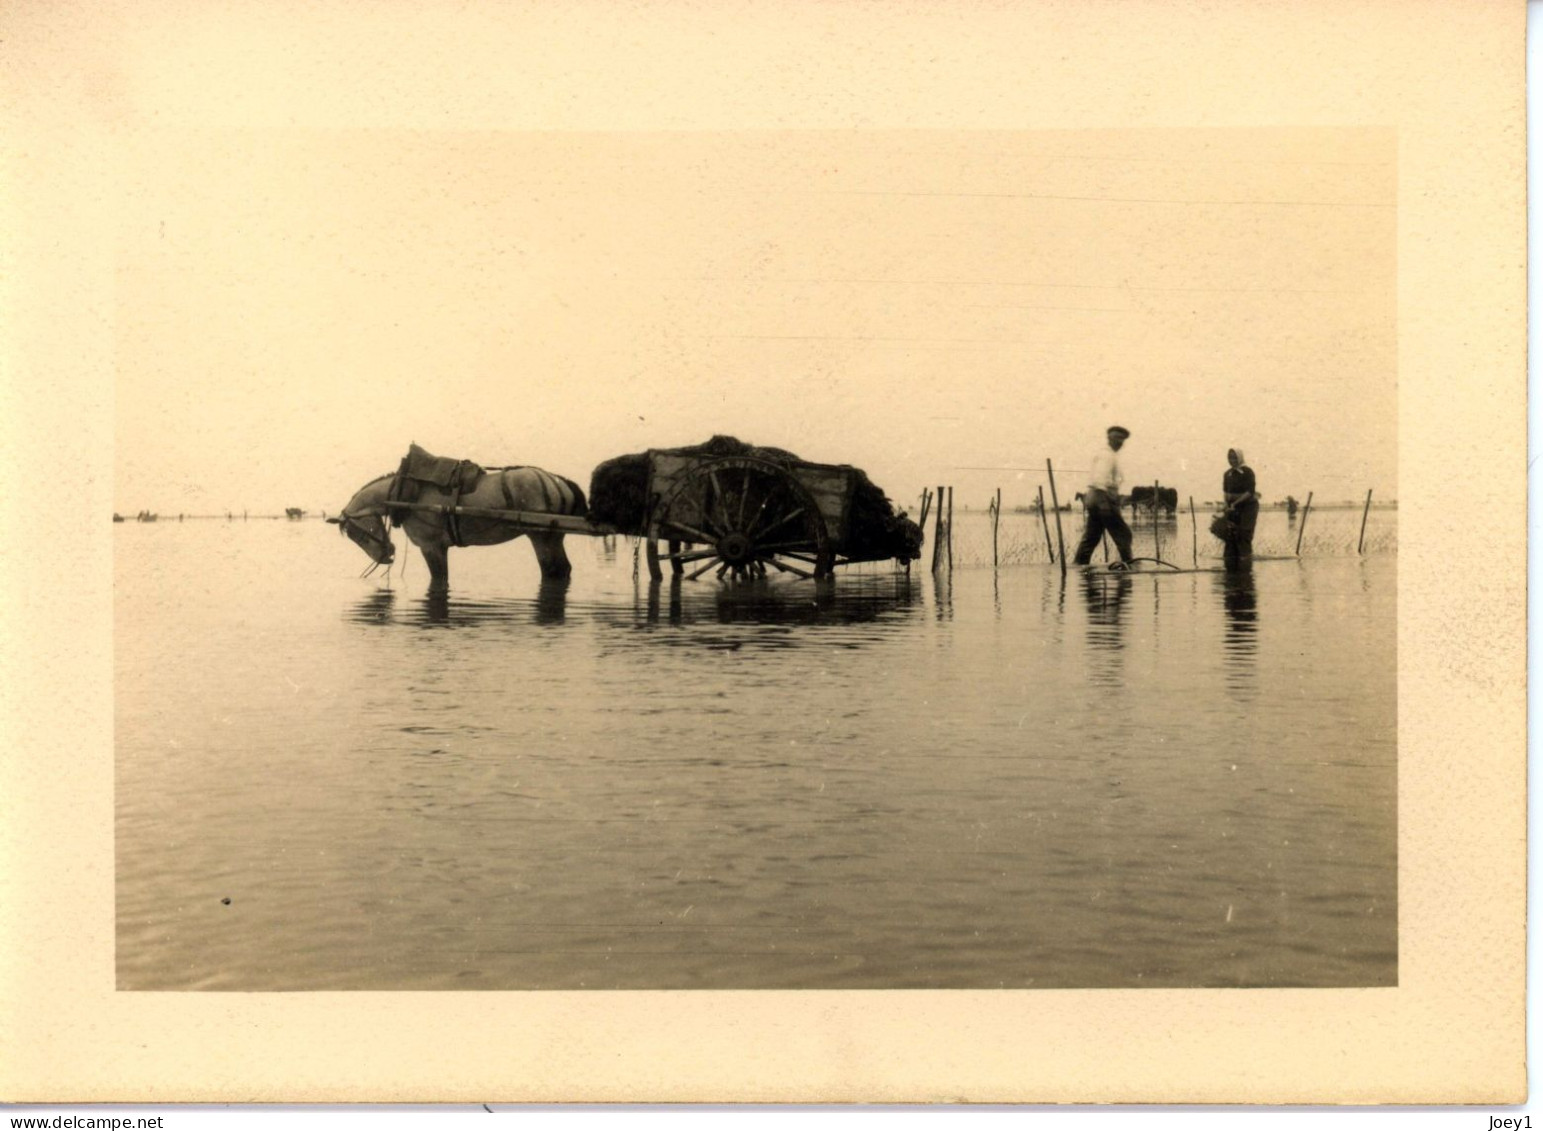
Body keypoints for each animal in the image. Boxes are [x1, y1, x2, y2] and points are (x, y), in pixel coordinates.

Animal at [328, 462, 586, 595]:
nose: (385, 556)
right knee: (562, 569)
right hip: (553, 536)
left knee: (552, 570)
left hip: (540, 536)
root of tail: (555, 480)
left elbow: (439, 578)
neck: (408, 494)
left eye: (354, 534)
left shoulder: (431, 546)